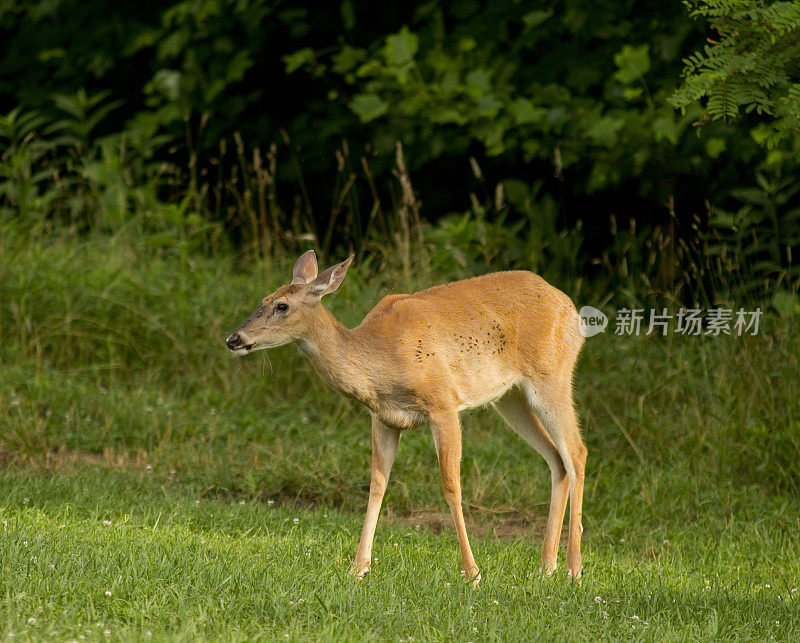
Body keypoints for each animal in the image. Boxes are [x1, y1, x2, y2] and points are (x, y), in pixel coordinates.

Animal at [225, 253, 588, 588]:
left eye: (282, 306)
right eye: (262, 300)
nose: (234, 339)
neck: (378, 362)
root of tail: (568, 305)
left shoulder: (443, 404)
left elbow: (451, 485)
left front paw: (472, 574)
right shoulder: (383, 418)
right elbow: (377, 483)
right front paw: (358, 568)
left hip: (552, 375)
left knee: (576, 452)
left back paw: (573, 569)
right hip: (510, 398)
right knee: (556, 459)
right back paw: (546, 567)